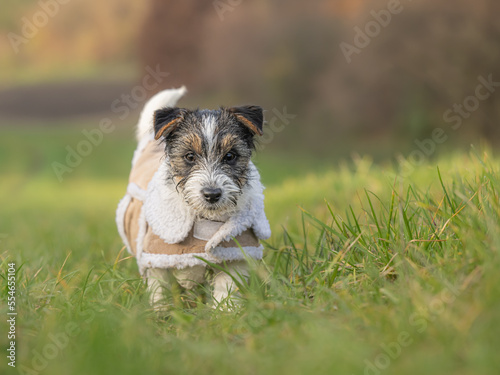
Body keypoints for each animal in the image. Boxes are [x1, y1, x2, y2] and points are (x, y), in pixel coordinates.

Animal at [115, 87, 272, 308]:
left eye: (230, 156)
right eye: (189, 156)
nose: (212, 194)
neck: (205, 220)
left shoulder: (234, 252)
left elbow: (226, 289)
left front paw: (226, 312)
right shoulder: (157, 257)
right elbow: (160, 289)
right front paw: (161, 312)